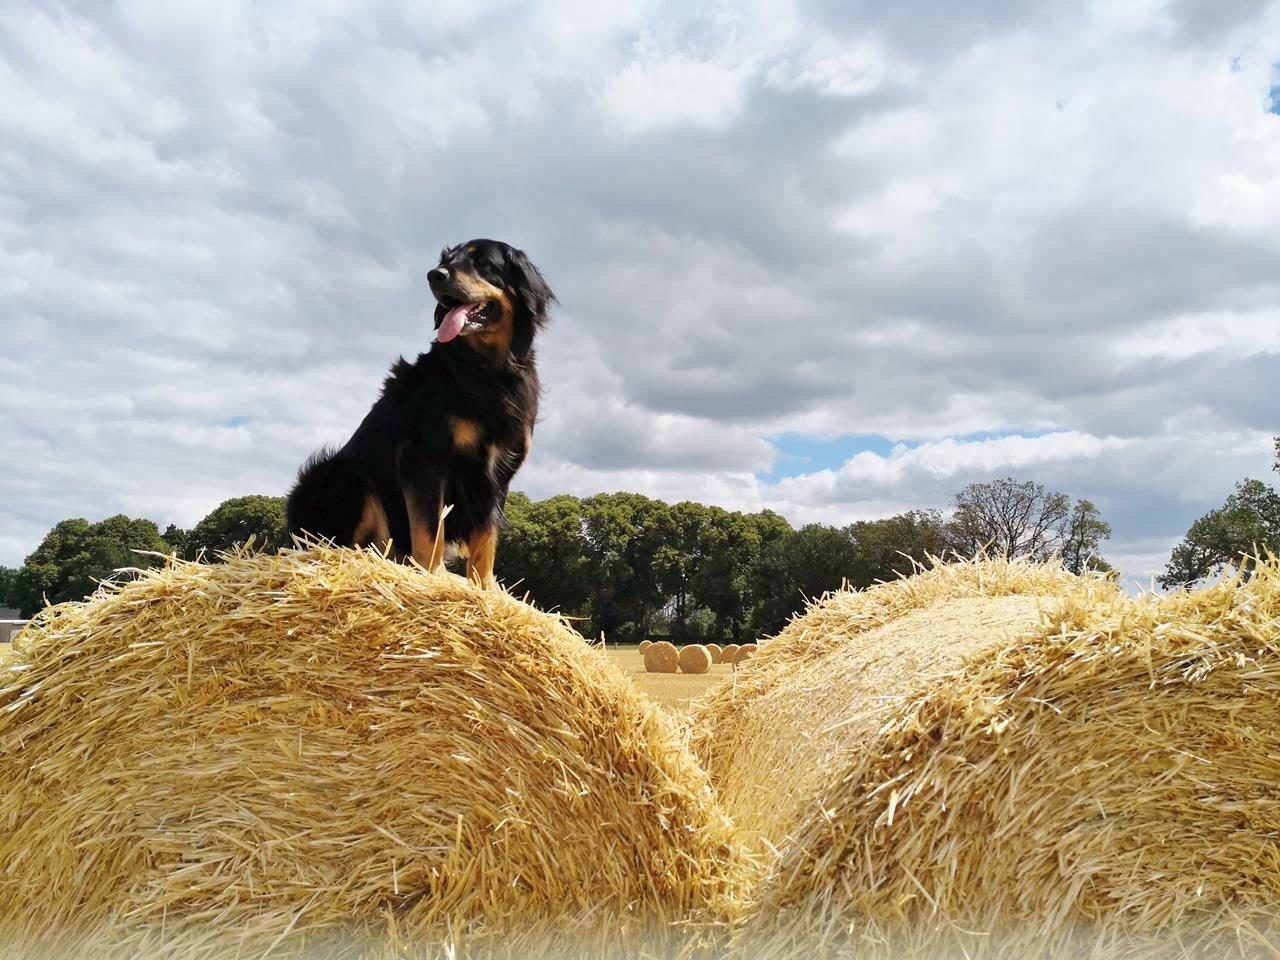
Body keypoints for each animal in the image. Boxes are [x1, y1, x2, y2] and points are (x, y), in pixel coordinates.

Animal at [286, 239, 555, 586]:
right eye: (447, 260)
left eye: (482, 262)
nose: (434, 275)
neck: (488, 369)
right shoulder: (425, 457)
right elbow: (429, 529)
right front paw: (434, 576)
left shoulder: (497, 474)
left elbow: (486, 541)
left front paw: (484, 588)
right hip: (345, 477)